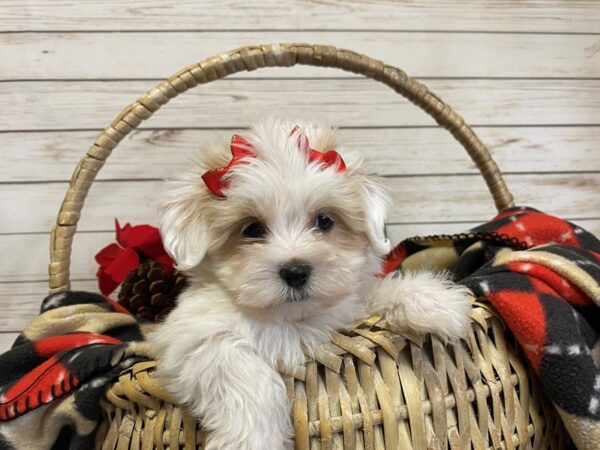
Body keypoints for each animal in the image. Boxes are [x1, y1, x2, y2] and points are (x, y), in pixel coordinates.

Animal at [149, 118, 468, 448]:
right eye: (251, 228)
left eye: (325, 220)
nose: (295, 271)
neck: (294, 318)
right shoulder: (192, 338)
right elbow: (241, 371)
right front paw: (251, 439)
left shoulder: (347, 310)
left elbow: (371, 293)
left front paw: (434, 301)